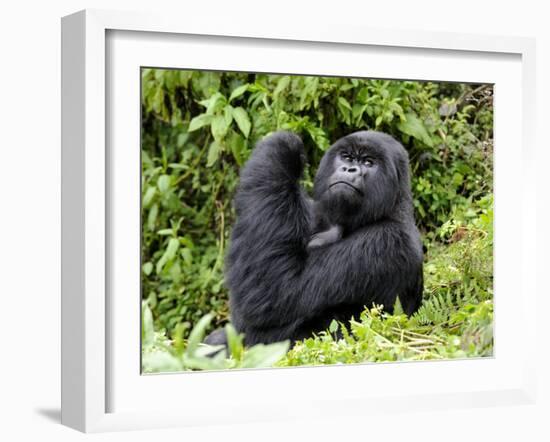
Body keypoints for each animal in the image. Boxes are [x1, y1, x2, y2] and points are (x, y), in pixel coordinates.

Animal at [207, 129, 426, 348]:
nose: (349, 169)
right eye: (346, 157)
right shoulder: (315, 213)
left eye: (368, 162)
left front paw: (284, 146)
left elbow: (276, 290)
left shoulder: (388, 241)